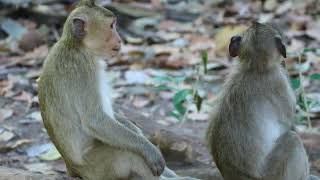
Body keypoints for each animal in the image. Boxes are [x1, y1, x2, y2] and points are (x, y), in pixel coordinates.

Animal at [38, 0, 200, 180]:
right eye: (111, 26)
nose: (120, 39)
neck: (77, 46)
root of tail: (72, 169)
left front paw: (136, 130)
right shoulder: (82, 68)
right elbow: (95, 120)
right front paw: (148, 149)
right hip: (97, 168)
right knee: (128, 154)